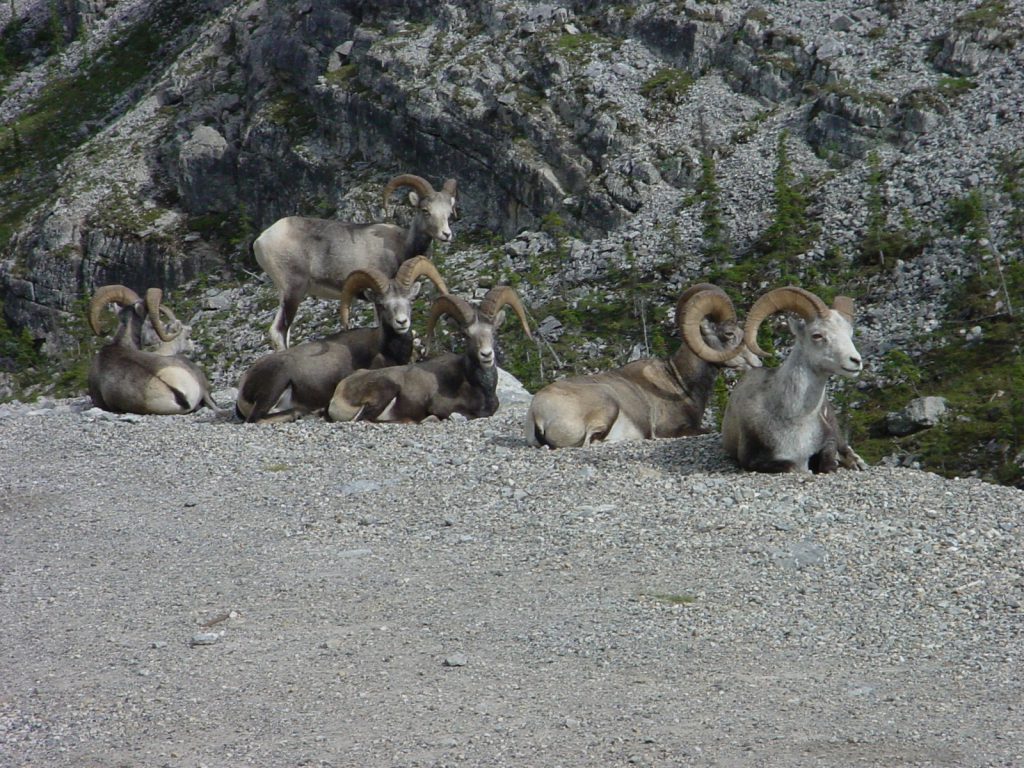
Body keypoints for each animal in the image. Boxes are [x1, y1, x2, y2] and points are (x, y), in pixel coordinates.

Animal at [234, 257, 448, 423]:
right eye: (382, 304)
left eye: (409, 301)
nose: (401, 322)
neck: (385, 349)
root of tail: (244, 384)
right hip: (276, 383)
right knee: (255, 418)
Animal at [254, 173, 458, 350]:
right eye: (426, 211)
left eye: (448, 212)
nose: (446, 234)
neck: (403, 245)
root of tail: (261, 239)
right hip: (293, 292)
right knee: (278, 332)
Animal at [327, 286, 531, 423]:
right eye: (467, 335)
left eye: (493, 332)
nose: (486, 355)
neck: (478, 386)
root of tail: (340, 392)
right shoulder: (442, 407)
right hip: (385, 388)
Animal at [525, 283, 761, 448]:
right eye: (729, 334)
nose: (757, 362)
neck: (678, 380)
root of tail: (538, 413)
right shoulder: (671, 430)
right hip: (607, 404)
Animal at [721, 286, 868, 473]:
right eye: (817, 335)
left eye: (849, 334)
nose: (855, 361)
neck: (795, 419)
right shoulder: (752, 460)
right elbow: (792, 466)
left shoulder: (829, 439)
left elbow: (829, 462)